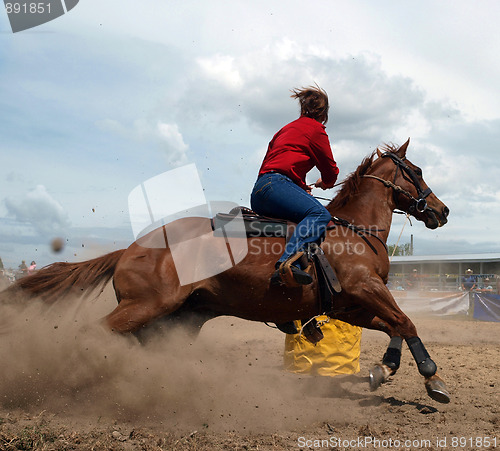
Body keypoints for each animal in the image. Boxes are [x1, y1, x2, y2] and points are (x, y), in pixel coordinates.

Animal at [1, 139, 452, 404]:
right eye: (417, 171)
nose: (443, 210)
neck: (354, 230)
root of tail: (129, 248)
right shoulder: (365, 289)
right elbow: (406, 322)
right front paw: (432, 380)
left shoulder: (349, 306)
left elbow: (394, 326)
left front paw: (383, 368)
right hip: (143, 307)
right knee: (90, 334)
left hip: (178, 319)